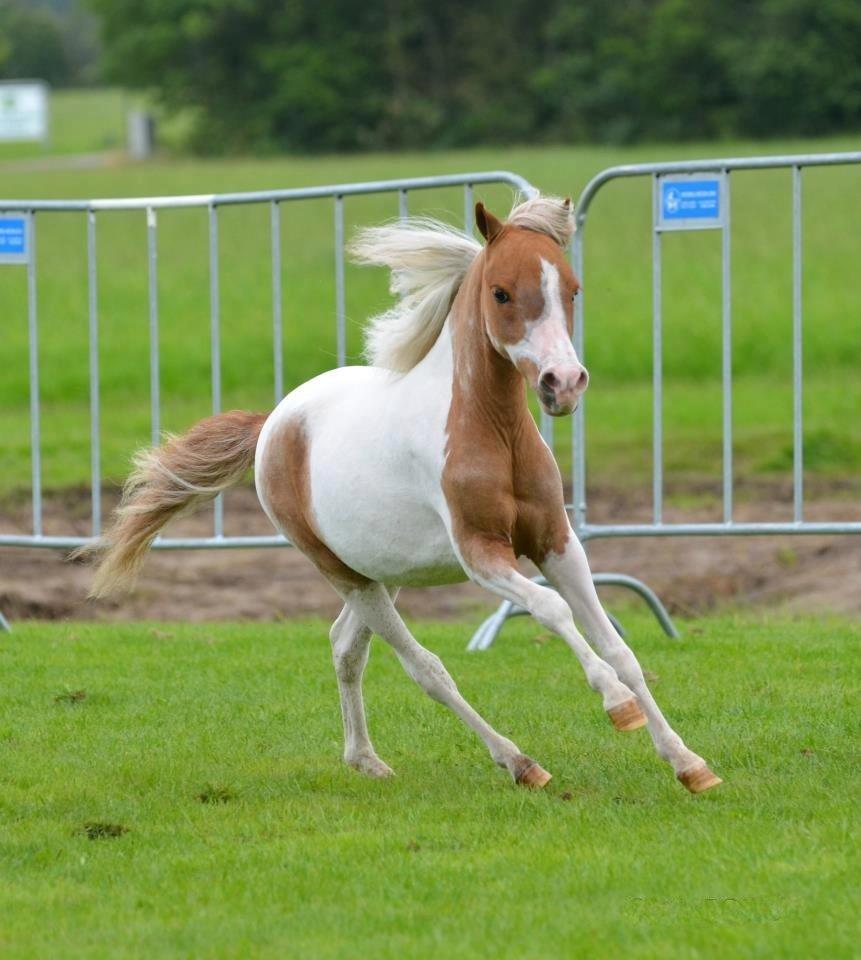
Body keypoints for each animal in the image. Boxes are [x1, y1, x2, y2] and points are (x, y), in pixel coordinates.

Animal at [85, 193, 720, 796]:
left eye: (571, 289)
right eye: (501, 293)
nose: (562, 385)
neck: (493, 432)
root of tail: (273, 424)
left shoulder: (557, 542)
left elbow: (618, 647)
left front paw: (689, 764)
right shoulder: (481, 554)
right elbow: (550, 610)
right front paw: (618, 707)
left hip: (382, 569)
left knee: (345, 645)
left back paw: (366, 760)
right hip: (344, 573)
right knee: (425, 668)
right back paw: (519, 764)